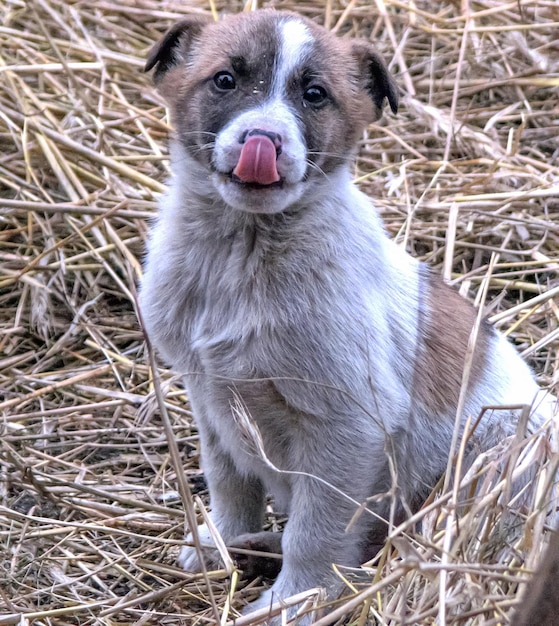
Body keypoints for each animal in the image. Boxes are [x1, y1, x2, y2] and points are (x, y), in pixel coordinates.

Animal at [142, 8, 556, 620]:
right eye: (224, 81)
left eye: (315, 95)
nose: (262, 141)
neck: (243, 250)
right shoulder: (210, 397)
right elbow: (230, 484)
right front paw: (222, 546)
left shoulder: (346, 425)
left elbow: (315, 532)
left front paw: (293, 602)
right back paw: (254, 548)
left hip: (502, 447)